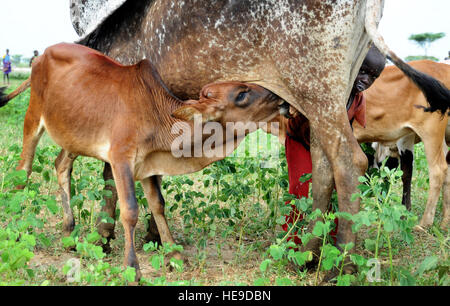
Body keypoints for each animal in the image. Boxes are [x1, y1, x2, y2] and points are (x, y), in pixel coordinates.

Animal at [0, 43, 286, 280]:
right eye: (241, 94)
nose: (281, 99)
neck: (159, 116)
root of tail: (42, 56)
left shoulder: (148, 165)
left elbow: (158, 205)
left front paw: (174, 255)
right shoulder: (121, 159)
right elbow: (130, 211)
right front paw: (132, 268)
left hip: (73, 134)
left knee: (61, 165)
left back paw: (69, 233)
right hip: (33, 118)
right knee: (22, 172)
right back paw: (14, 228)